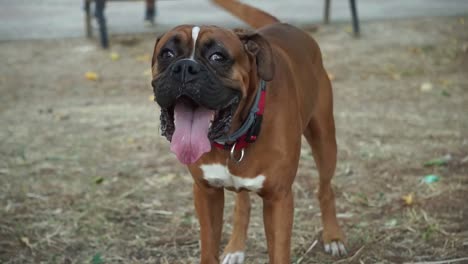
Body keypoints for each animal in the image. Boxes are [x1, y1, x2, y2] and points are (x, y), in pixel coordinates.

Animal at [152, 0, 346, 262]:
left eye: (218, 56)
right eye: (167, 54)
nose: (185, 67)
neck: (233, 137)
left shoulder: (278, 200)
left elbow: (279, 253)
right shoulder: (206, 193)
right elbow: (209, 248)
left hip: (325, 141)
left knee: (325, 189)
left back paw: (333, 236)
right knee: (242, 205)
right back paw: (235, 247)